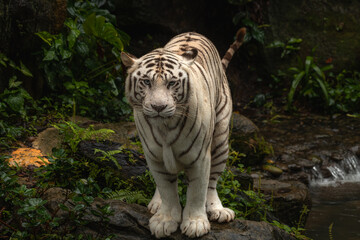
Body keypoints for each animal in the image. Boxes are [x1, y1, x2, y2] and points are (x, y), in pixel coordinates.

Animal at [122, 28, 246, 238]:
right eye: (146, 82)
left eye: (172, 83)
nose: (158, 107)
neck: (164, 128)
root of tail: (193, 32)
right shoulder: (154, 157)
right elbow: (167, 189)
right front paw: (165, 220)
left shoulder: (199, 157)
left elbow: (197, 191)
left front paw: (196, 224)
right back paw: (157, 204)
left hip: (221, 140)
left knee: (212, 182)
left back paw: (218, 210)